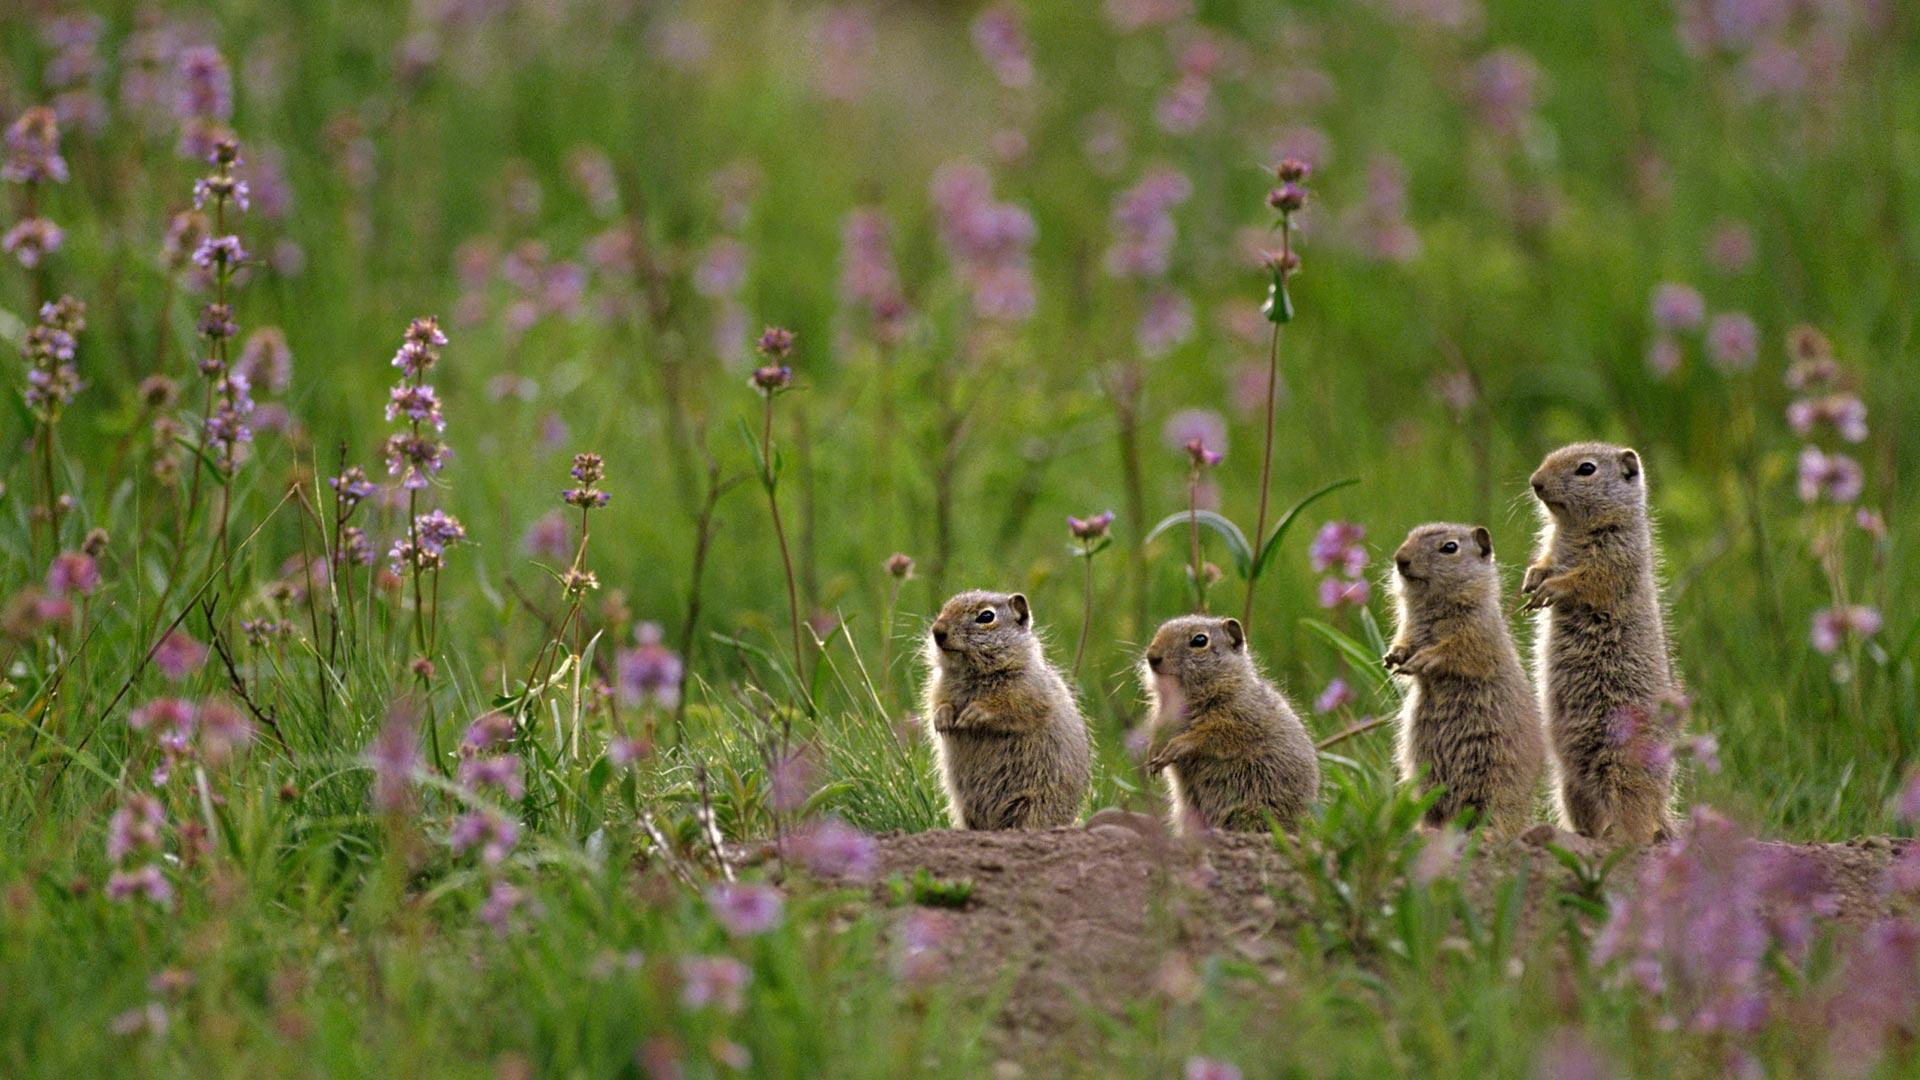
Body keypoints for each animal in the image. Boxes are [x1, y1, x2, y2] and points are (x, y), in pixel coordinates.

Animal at [917, 588, 1090, 822]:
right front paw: (943, 719)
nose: (937, 631)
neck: (975, 675)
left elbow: (1009, 708)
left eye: (986, 616)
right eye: (945, 607)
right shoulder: (937, 687)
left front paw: (972, 714)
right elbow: (937, 704)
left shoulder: (1026, 691)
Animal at [1136, 614, 1320, 834]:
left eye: (1200, 640)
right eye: (1160, 630)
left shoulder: (1238, 719)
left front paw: (1176, 747)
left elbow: (1209, 736)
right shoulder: (1163, 717)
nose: (1152, 656)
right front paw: (1152, 755)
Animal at [1382, 522, 1543, 834]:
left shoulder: (1477, 631)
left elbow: (1457, 650)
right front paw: (1393, 657)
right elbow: (1405, 639)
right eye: (1409, 536)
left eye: (1450, 547)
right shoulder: (1409, 627)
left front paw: (1423, 659)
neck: (1434, 607)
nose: (1400, 559)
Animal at [1528, 440, 1681, 841]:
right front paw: (1531, 579)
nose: (1535, 482)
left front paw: (1551, 588)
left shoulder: (1616, 553)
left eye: (1586, 469)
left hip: (1624, 770)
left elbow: (1589, 577)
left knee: (1637, 823)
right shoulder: (1552, 545)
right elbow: (1545, 560)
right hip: (1570, 787)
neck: (1572, 529)